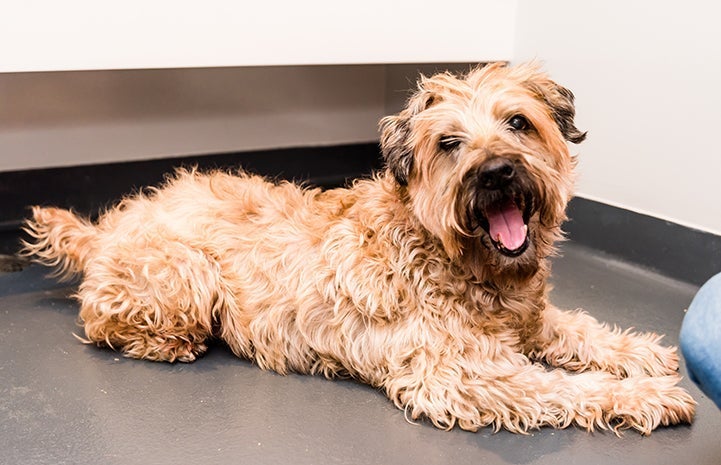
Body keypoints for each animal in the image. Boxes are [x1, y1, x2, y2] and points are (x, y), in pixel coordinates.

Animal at [25, 62, 696, 436]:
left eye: (518, 122)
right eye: (448, 143)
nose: (496, 172)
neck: (444, 254)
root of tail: (105, 227)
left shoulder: (527, 322)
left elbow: (577, 329)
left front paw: (640, 353)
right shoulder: (458, 373)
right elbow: (558, 386)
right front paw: (647, 396)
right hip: (183, 275)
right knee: (109, 323)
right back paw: (169, 342)